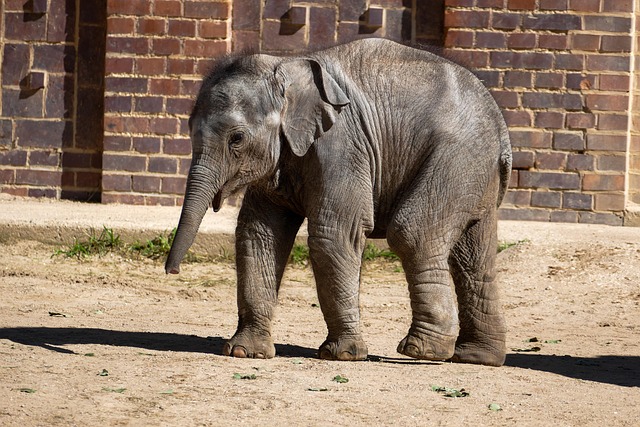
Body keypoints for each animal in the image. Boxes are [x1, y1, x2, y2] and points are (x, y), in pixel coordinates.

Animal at [165, 38, 512, 367]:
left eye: (236, 139)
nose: (173, 271)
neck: (285, 66)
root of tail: (501, 127)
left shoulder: (343, 145)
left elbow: (335, 235)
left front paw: (342, 355)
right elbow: (259, 235)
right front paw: (244, 353)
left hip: (456, 158)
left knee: (413, 234)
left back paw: (422, 350)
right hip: (473, 172)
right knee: (473, 255)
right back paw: (477, 357)